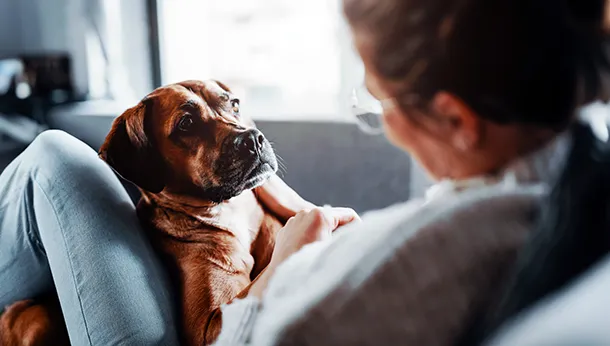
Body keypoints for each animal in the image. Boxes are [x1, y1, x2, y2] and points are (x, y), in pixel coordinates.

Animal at [0, 79, 312, 344]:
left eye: (234, 104)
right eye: (186, 123)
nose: (253, 139)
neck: (228, 211)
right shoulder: (209, 326)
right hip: (36, 317)